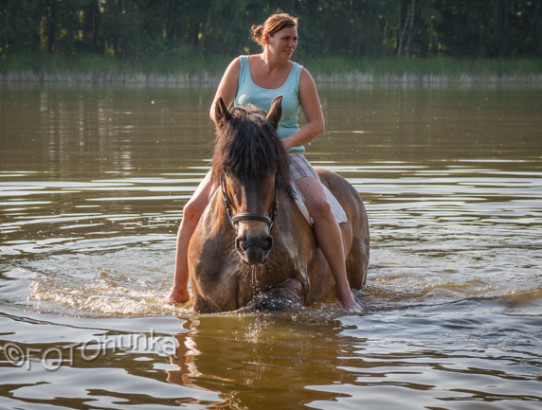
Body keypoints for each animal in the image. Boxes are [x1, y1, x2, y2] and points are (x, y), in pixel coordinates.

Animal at [189, 96, 372, 314]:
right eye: (227, 168)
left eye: (274, 169)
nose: (255, 243)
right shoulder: (204, 302)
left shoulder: (296, 284)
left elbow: (271, 299)